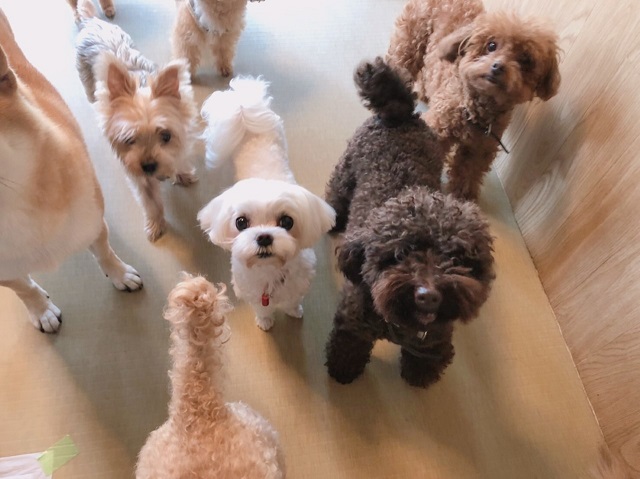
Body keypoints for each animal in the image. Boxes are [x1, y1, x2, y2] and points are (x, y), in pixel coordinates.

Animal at [0, 8, 142, 333]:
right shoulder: (7, 273)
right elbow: (24, 288)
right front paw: (41, 310)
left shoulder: (93, 223)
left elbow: (105, 253)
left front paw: (120, 275)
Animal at [72, 0, 200, 242]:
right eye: (128, 139)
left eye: (166, 136)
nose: (148, 165)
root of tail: (92, 21)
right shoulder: (138, 176)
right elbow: (151, 202)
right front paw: (156, 224)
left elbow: (179, 159)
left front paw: (183, 173)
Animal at [197, 77, 336, 331]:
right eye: (241, 222)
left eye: (287, 221)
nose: (263, 237)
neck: (270, 271)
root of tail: (244, 109)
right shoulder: (251, 290)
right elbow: (262, 308)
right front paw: (265, 321)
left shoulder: (298, 283)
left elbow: (292, 300)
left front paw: (294, 311)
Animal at [324, 58, 495, 388]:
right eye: (401, 253)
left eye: (456, 258)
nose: (429, 295)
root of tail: (400, 114)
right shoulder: (353, 322)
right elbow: (348, 346)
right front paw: (342, 370)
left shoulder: (436, 337)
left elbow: (429, 355)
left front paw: (419, 375)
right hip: (346, 170)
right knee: (337, 193)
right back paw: (333, 218)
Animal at [387, 0, 561, 201]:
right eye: (491, 45)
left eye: (525, 60)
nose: (498, 67)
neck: (475, 110)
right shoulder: (437, 128)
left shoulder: (479, 150)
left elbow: (467, 174)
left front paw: (463, 198)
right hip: (410, 42)